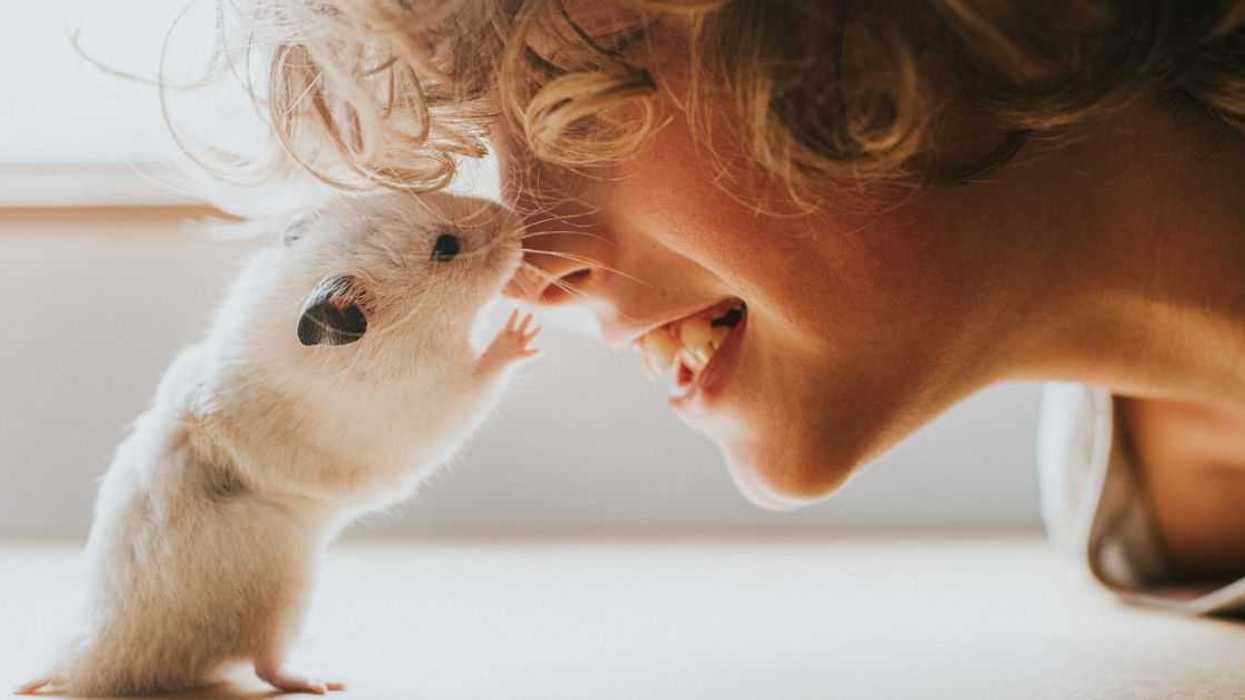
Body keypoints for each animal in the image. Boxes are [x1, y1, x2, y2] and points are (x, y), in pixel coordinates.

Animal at [17, 192, 539, 696]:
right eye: (445, 247)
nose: (517, 221)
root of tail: (92, 662)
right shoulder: (431, 400)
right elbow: (480, 377)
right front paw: (523, 331)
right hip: (286, 595)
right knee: (266, 665)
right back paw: (321, 680)